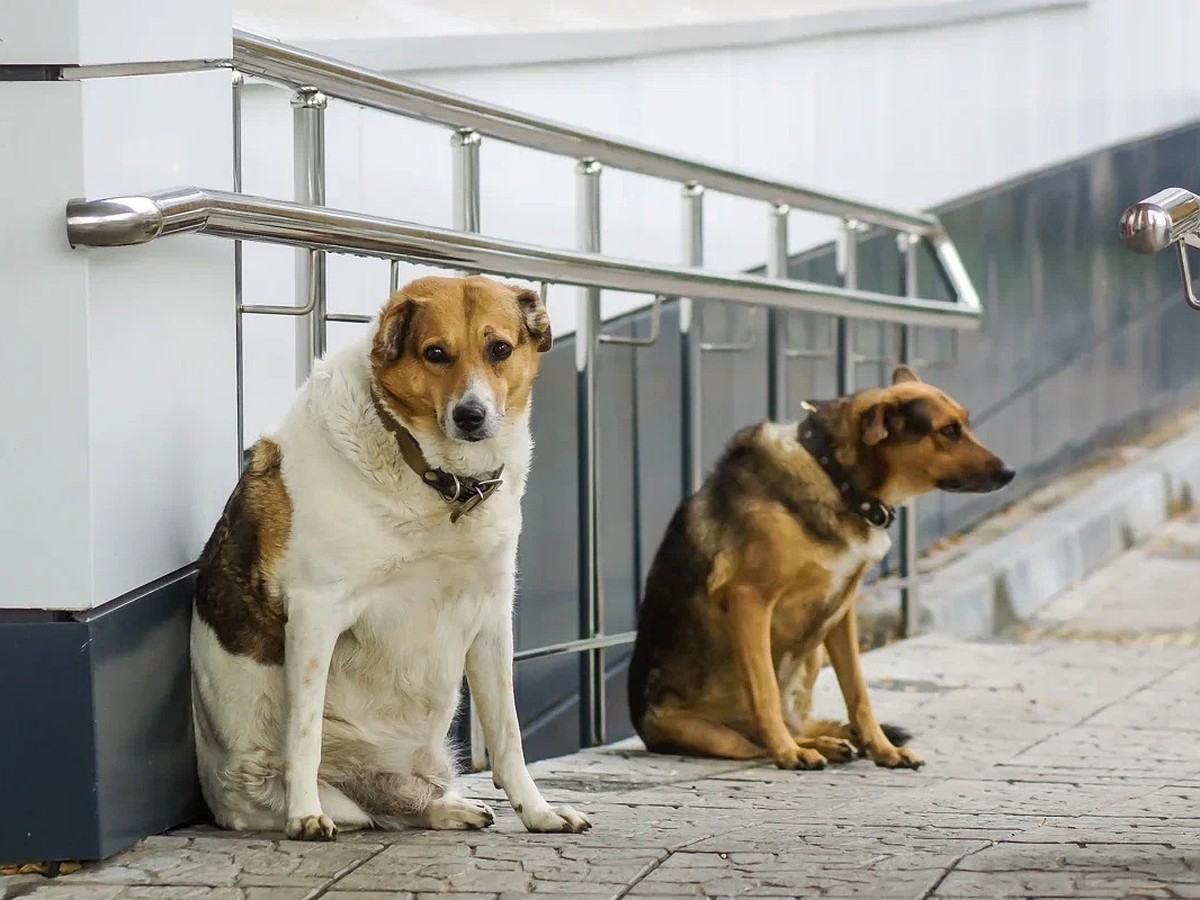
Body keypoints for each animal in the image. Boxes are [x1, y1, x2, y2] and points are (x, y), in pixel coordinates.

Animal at [187, 277, 590, 844]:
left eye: (500, 349)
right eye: (435, 353)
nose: (470, 415)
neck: (439, 481)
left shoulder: (491, 616)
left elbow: (509, 737)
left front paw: (538, 812)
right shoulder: (316, 612)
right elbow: (304, 732)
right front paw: (304, 814)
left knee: (405, 806)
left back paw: (448, 808)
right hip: (288, 789)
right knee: (357, 803)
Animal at [628, 362, 1012, 772]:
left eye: (965, 423)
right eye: (949, 431)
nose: (1010, 472)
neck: (838, 478)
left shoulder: (842, 611)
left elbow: (858, 692)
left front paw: (883, 750)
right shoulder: (750, 600)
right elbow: (765, 690)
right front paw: (788, 753)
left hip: (813, 653)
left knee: (794, 724)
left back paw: (827, 743)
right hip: (714, 734)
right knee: (756, 740)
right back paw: (797, 747)